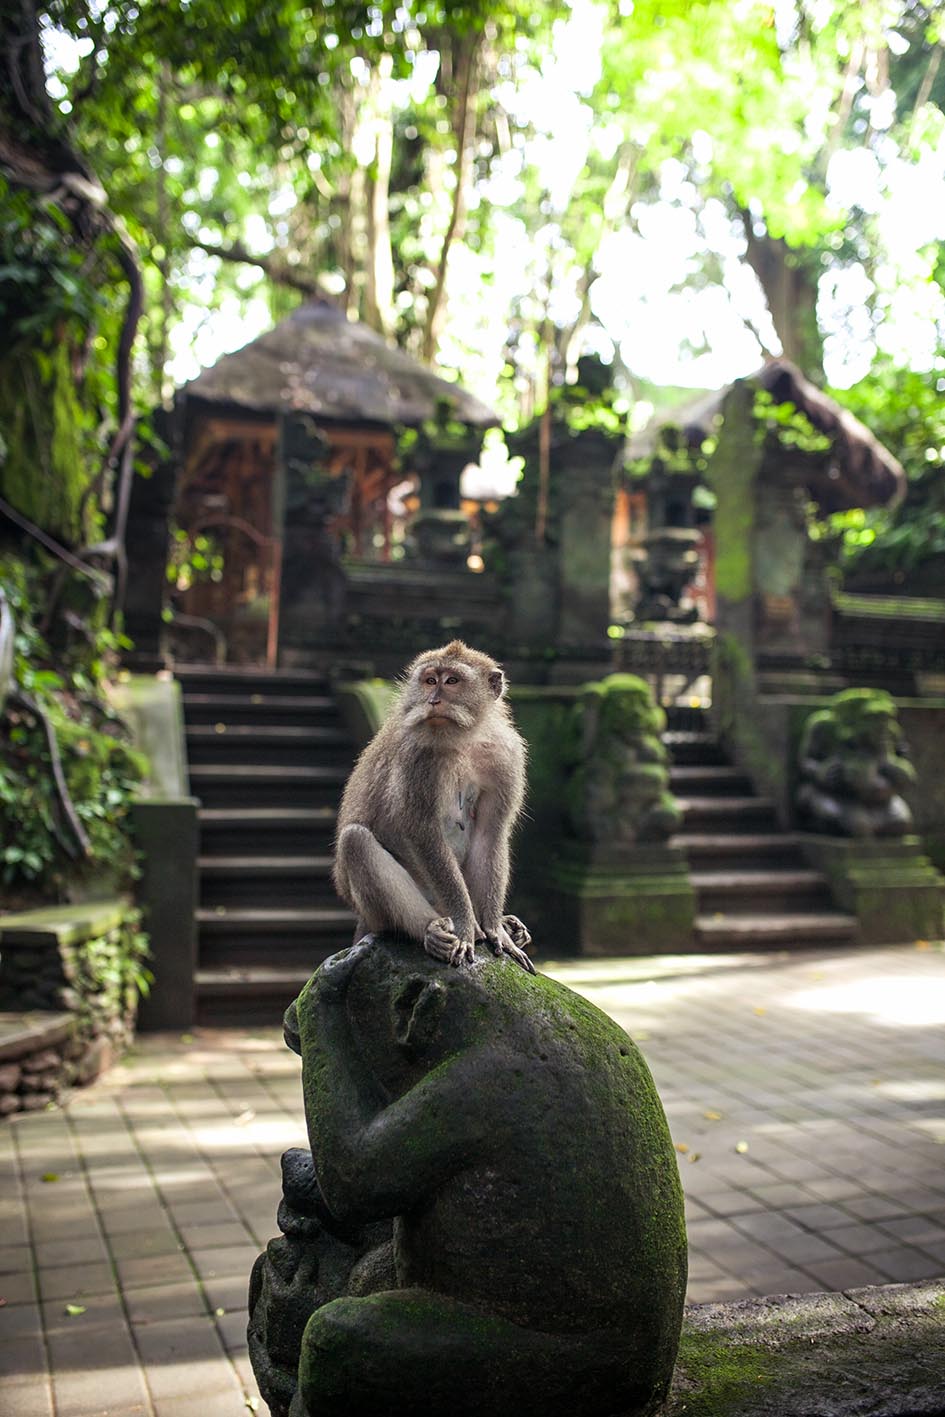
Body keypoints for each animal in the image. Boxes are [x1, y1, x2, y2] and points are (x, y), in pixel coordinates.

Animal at [334, 643, 535, 974]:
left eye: (452, 681)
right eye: (430, 681)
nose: (433, 700)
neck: (465, 738)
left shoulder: (506, 756)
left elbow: (490, 833)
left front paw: (494, 928)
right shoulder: (418, 757)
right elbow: (422, 833)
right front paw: (466, 926)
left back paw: (506, 925)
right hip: (378, 910)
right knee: (355, 840)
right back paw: (431, 931)